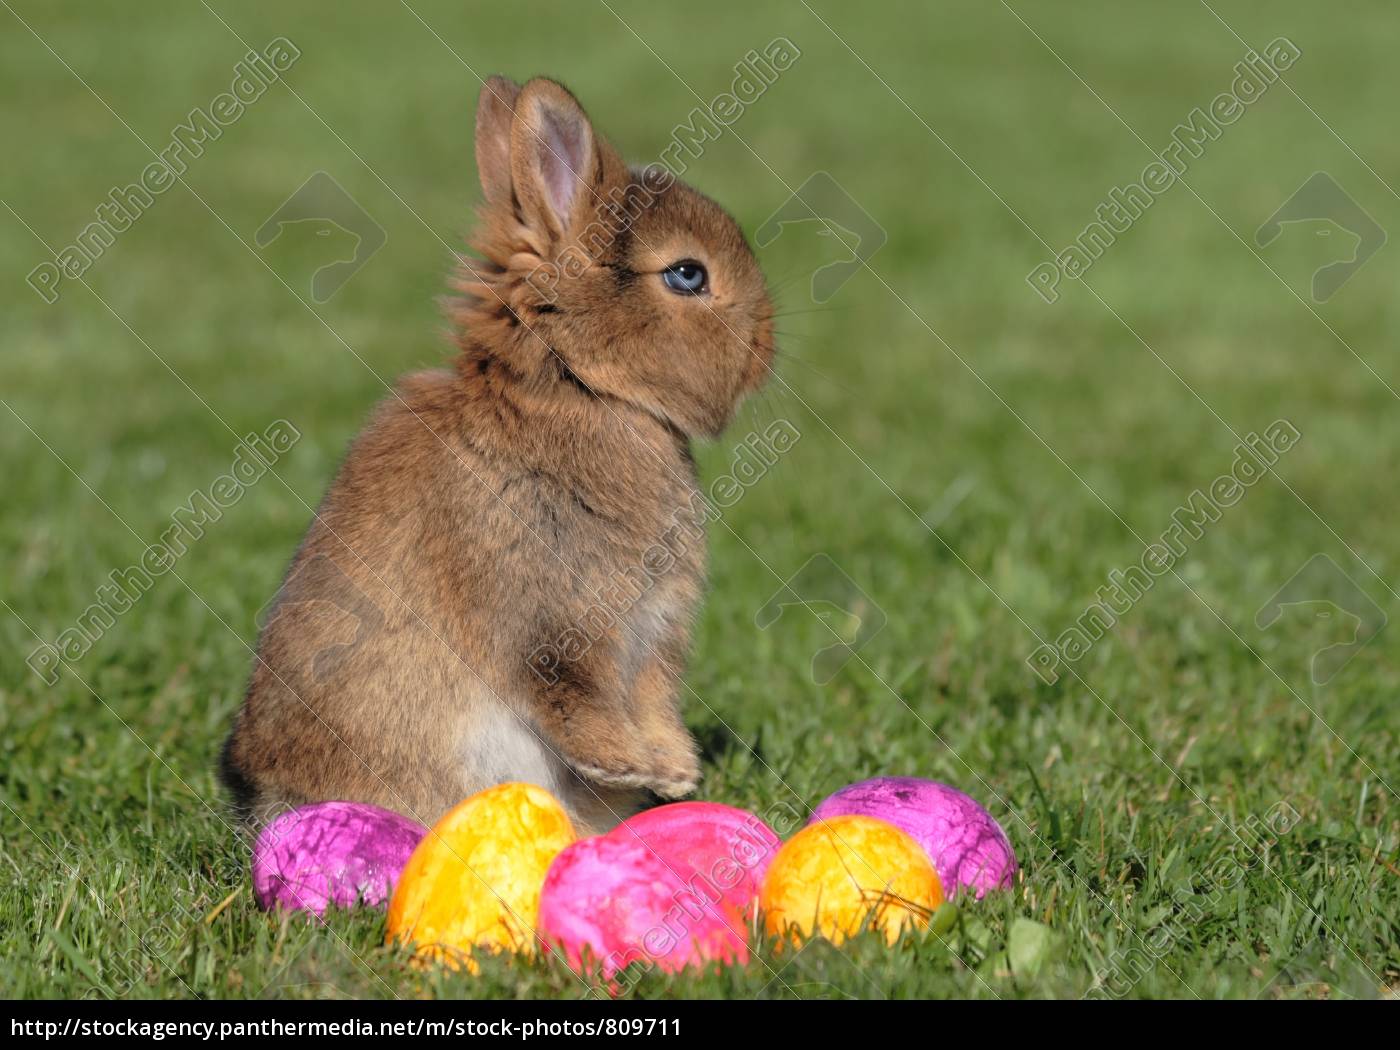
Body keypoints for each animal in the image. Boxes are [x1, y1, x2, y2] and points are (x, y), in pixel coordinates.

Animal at [218, 75, 778, 840]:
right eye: (688, 275)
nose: (767, 349)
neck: (573, 388)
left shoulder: (652, 636)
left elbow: (653, 700)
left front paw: (672, 770)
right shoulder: (557, 624)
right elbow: (571, 697)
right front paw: (642, 769)